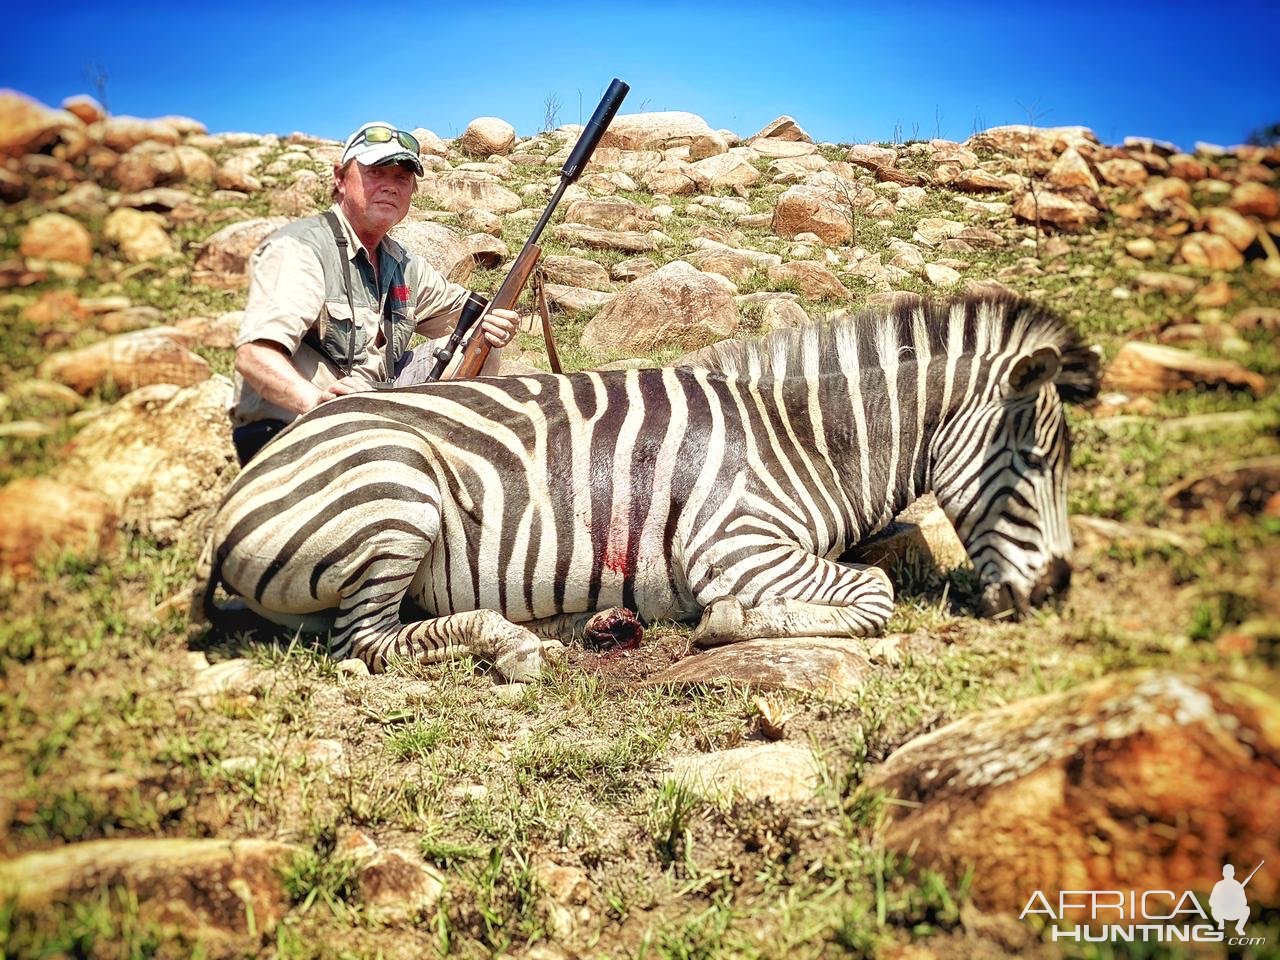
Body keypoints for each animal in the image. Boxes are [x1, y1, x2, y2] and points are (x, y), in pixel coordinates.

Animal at [192, 289, 1100, 680]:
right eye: (1038, 460)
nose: (1059, 588)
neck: (800, 440)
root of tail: (245, 485)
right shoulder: (737, 545)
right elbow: (874, 593)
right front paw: (729, 625)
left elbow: (876, 577)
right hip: (396, 493)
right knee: (364, 645)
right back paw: (515, 644)